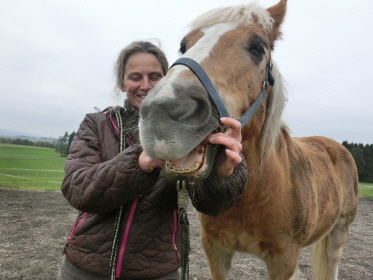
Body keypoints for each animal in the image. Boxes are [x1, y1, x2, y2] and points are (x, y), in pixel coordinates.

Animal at [137, 1, 358, 278]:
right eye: (184, 45)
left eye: (258, 47)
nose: (161, 110)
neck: (256, 192)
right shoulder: (215, 250)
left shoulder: (284, 260)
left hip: (340, 233)